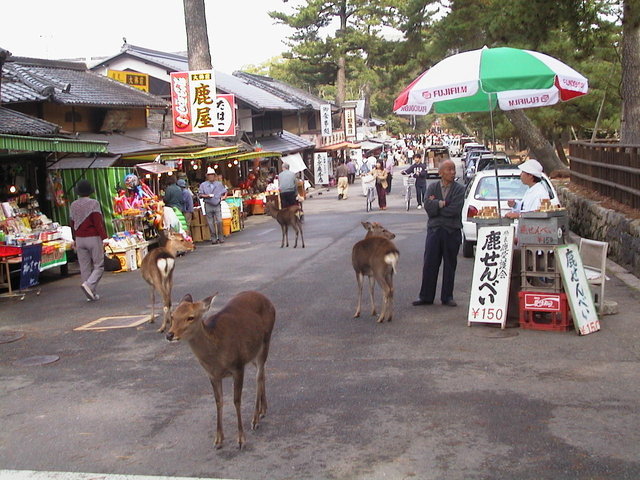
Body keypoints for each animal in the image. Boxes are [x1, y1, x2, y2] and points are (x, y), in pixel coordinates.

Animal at [165, 290, 276, 452]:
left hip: (265, 341)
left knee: (258, 377)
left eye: (190, 317)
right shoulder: (212, 375)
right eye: (172, 316)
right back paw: (263, 410)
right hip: (252, 352)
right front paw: (218, 440)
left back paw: (255, 419)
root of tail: (267, 299)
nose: (169, 335)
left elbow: (236, 400)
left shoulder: (238, 366)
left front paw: (241, 440)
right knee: (262, 373)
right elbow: (219, 401)